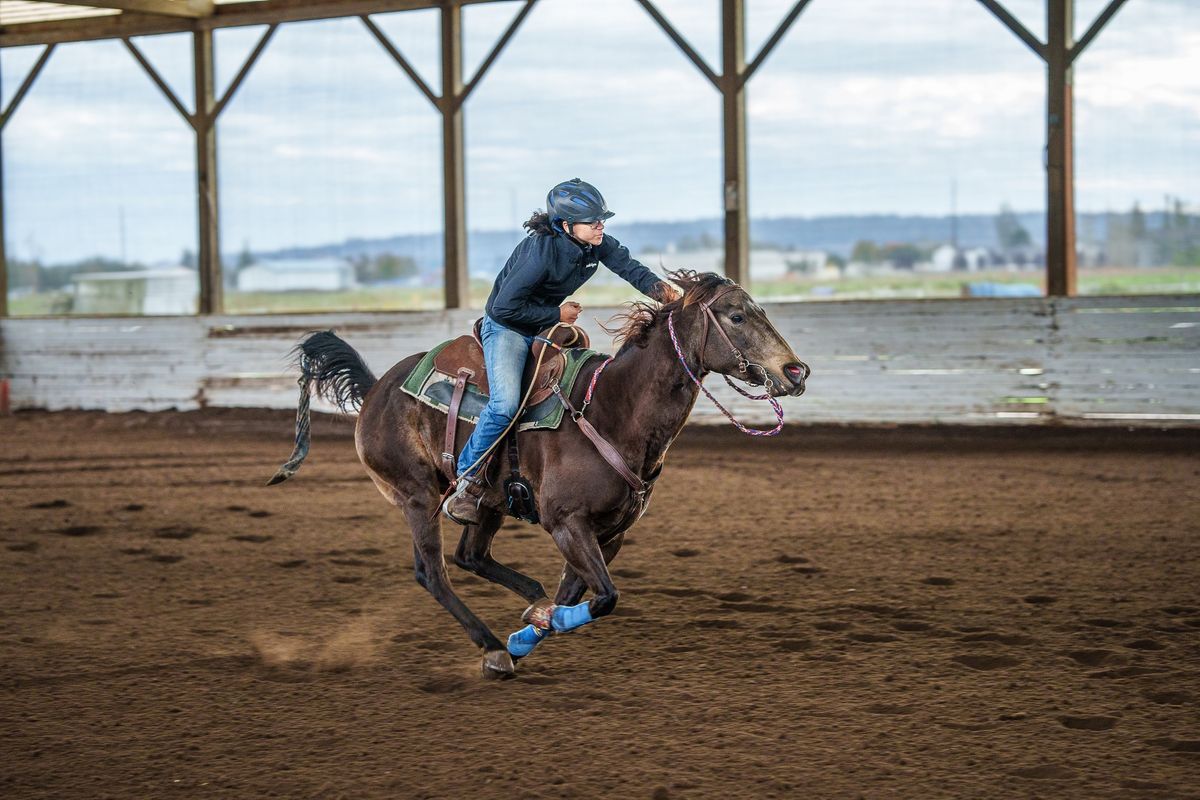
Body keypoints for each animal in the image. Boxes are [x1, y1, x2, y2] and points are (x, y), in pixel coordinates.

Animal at [270, 272, 806, 681]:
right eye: (736, 316)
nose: (795, 371)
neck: (612, 408)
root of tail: (377, 387)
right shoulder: (568, 523)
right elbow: (606, 597)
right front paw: (518, 638)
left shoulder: (610, 534)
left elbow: (579, 594)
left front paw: (531, 630)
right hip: (417, 496)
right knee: (434, 572)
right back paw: (491, 646)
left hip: (488, 502)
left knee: (471, 556)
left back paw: (530, 607)